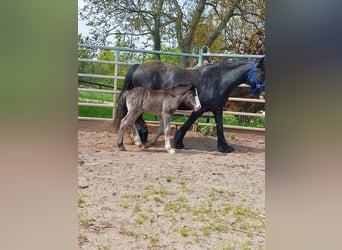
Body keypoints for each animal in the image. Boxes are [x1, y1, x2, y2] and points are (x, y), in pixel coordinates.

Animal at [114, 58, 264, 152]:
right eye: (262, 73)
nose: (263, 93)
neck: (218, 80)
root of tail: (138, 66)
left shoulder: (217, 109)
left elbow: (220, 128)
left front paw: (225, 148)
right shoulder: (200, 109)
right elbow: (187, 124)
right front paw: (178, 142)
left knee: (132, 120)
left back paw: (138, 140)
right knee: (134, 120)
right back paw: (140, 139)